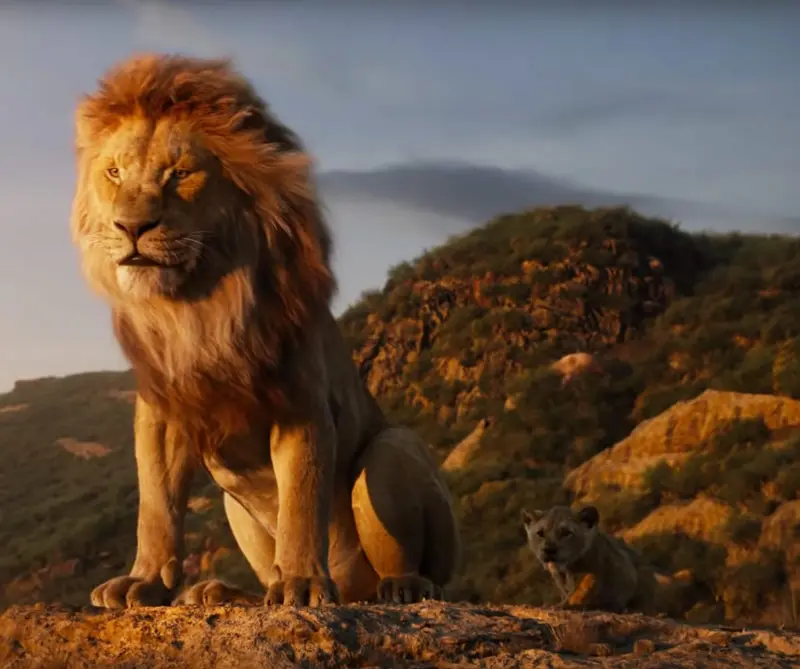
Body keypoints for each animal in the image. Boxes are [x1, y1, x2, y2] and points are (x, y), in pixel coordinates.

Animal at [70, 53, 460, 609]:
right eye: (114, 172)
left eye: (180, 174)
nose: (131, 228)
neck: (197, 307)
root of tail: (354, 591)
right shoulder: (162, 412)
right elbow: (156, 507)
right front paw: (143, 582)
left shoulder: (302, 404)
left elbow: (300, 501)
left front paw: (300, 583)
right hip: (235, 507)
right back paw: (222, 593)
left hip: (393, 449)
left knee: (422, 568)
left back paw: (400, 586)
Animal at [521, 506, 696, 617]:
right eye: (540, 533)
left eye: (566, 533)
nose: (549, 549)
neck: (566, 569)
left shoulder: (620, 569)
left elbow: (584, 588)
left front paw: (564, 605)